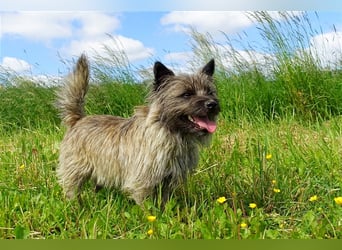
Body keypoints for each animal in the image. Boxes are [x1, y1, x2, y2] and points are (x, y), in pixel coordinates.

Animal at [55, 54, 222, 207]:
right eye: (186, 94)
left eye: (210, 92)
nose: (212, 104)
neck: (173, 133)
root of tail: (78, 119)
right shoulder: (143, 181)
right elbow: (147, 205)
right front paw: (153, 216)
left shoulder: (167, 181)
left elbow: (164, 200)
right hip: (76, 170)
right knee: (71, 189)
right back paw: (75, 205)